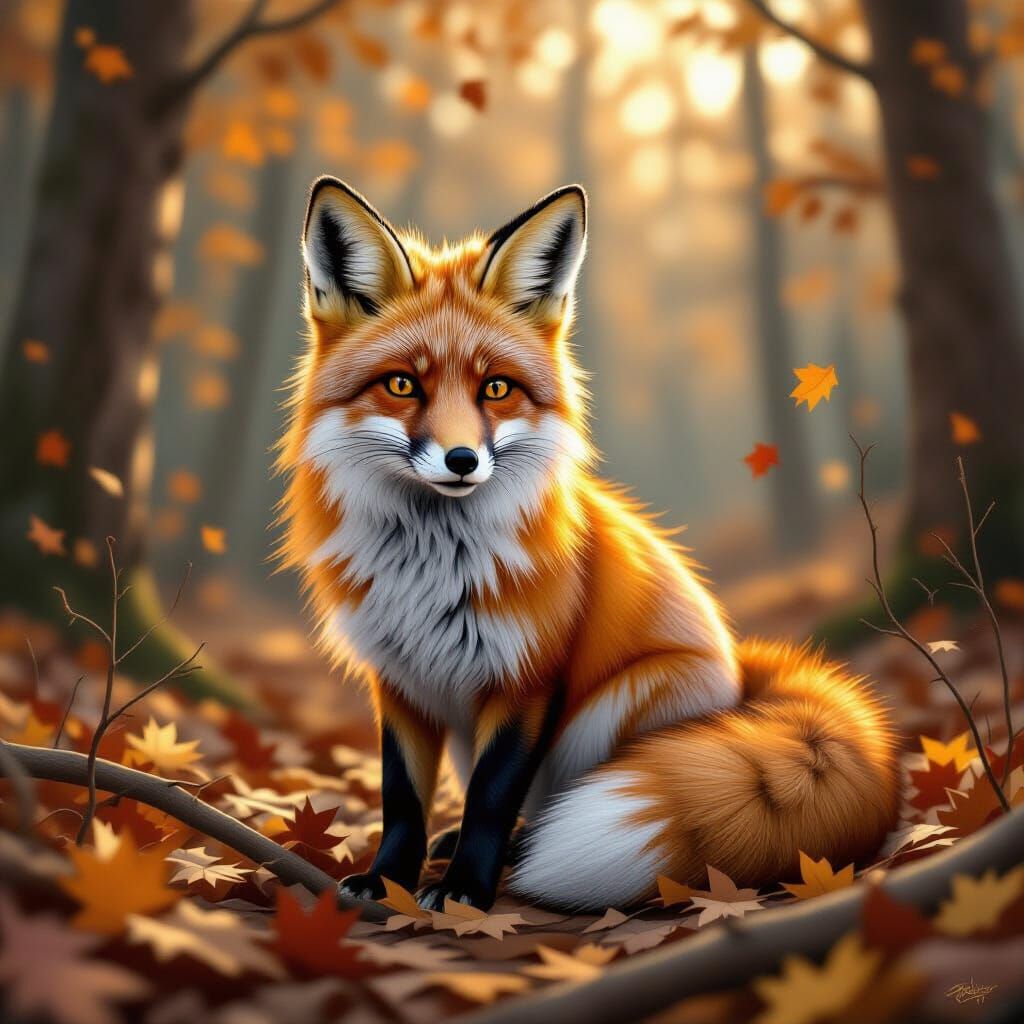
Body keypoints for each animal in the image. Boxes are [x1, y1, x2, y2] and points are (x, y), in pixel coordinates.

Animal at [277, 177, 902, 912]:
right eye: (403, 384)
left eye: (496, 388)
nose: (462, 460)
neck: (431, 567)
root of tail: (741, 678)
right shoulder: (399, 680)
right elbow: (401, 799)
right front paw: (387, 879)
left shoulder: (528, 678)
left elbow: (490, 798)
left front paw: (464, 891)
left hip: (617, 707)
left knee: (550, 802)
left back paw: (520, 852)